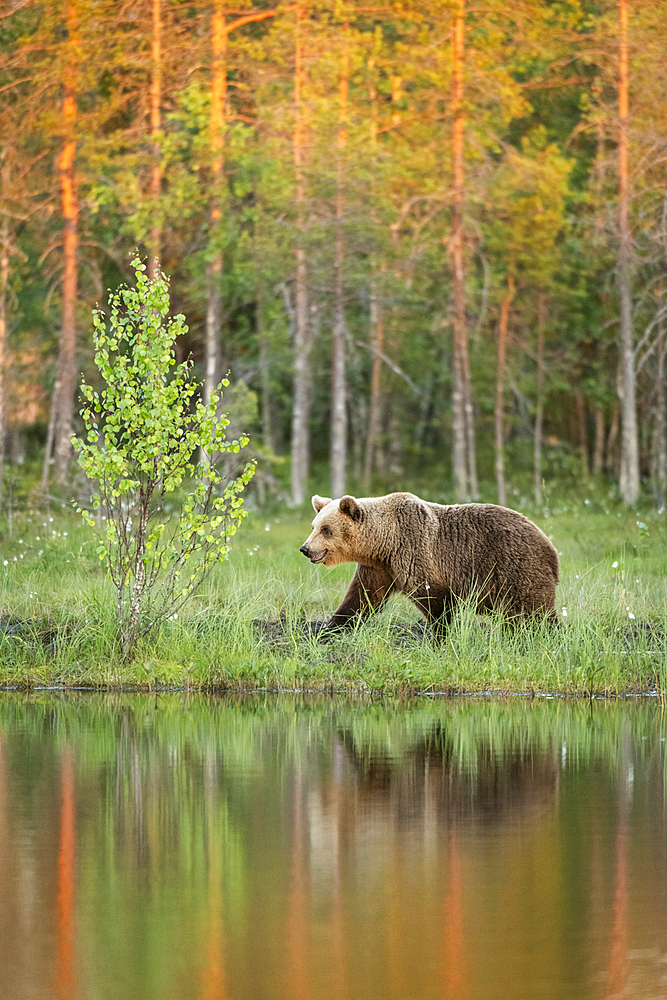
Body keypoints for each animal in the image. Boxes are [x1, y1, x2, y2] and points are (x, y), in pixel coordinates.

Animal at [302, 490, 560, 632]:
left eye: (326, 530)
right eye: (314, 526)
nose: (305, 548)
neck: (383, 543)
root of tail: (550, 547)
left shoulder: (414, 551)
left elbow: (433, 597)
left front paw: (440, 635)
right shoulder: (378, 568)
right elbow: (362, 598)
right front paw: (332, 626)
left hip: (516, 567)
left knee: (533, 611)